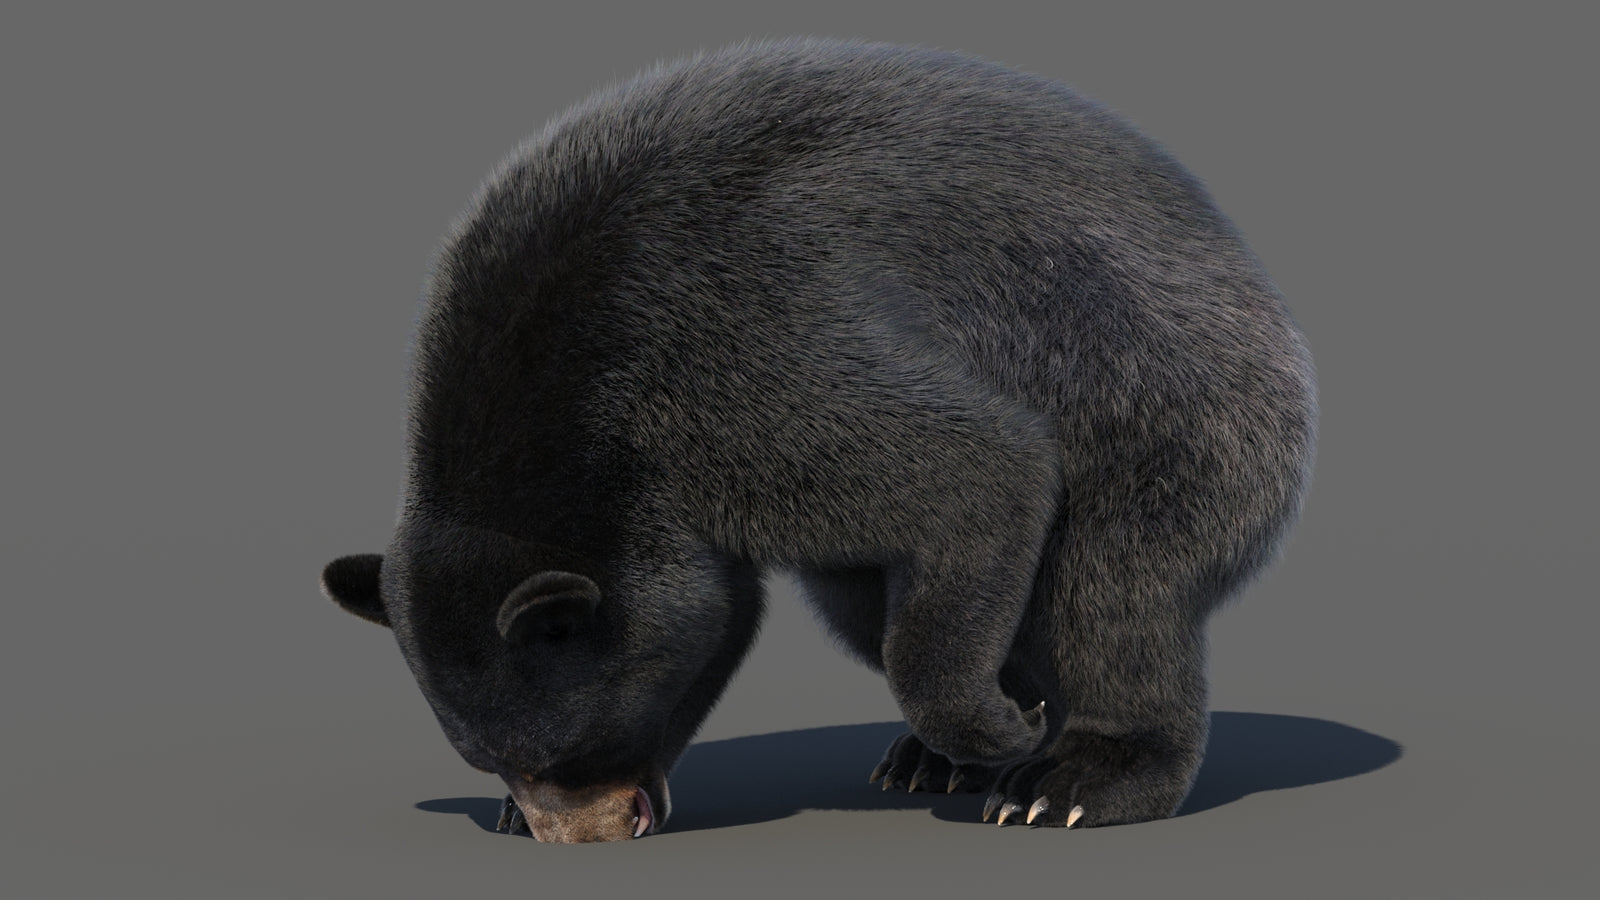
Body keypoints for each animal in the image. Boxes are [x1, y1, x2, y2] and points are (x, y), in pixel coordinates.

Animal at [321, 37, 1317, 843]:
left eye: (565, 749)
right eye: (492, 757)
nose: (581, 835)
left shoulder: (742, 365)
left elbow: (981, 468)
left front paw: (1005, 727)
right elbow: (722, 609)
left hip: (1171, 402)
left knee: (1115, 589)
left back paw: (1069, 778)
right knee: (867, 605)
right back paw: (942, 757)